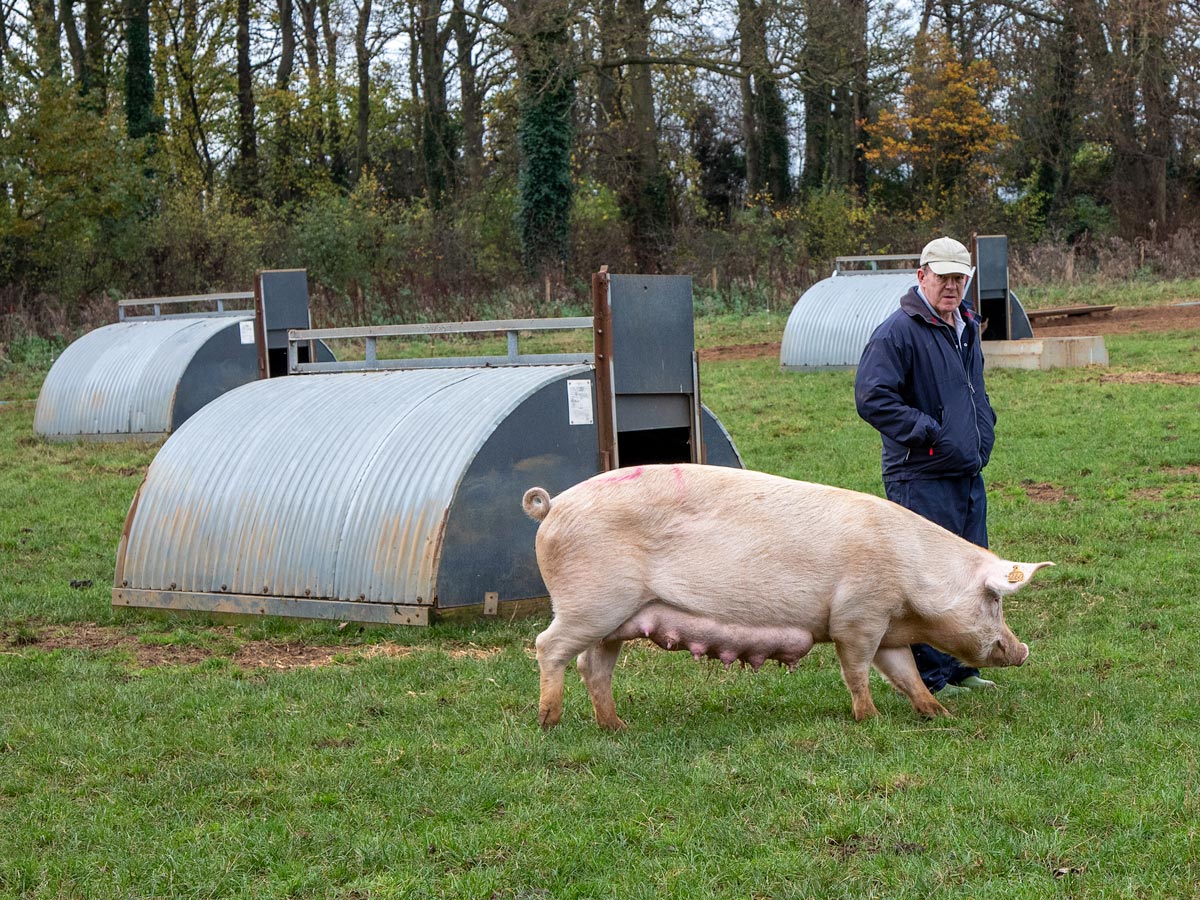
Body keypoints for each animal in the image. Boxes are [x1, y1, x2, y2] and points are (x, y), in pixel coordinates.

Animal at [523, 465, 1051, 734]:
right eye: (995, 601)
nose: (1024, 650)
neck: (912, 579)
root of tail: (553, 507)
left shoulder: (885, 628)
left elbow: (906, 674)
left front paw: (941, 715)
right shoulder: (857, 616)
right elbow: (856, 671)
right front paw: (870, 720)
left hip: (615, 619)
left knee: (594, 667)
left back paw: (617, 726)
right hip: (589, 604)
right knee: (548, 646)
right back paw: (549, 722)